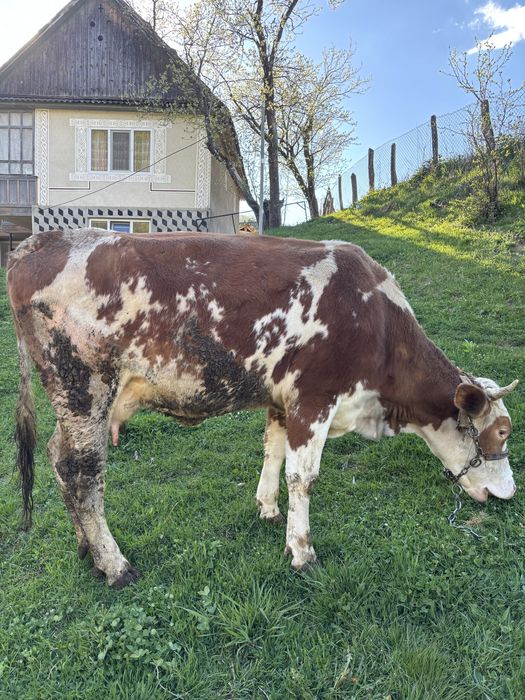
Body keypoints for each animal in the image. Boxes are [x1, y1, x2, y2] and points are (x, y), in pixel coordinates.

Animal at [7, 229, 518, 587]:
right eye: (501, 433)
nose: (510, 493)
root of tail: (42, 240)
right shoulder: (314, 398)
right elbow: (303, 477)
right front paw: (302, 552)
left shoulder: (282, 399)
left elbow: (273, 452)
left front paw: (268, 508)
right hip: (84, 386)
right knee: (83, 473)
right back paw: (114, 565)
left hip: (75, 403)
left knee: (58, 458)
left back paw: (85, 549)